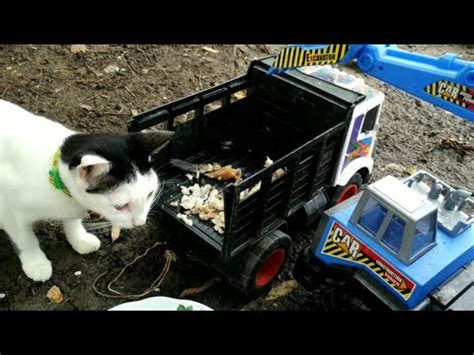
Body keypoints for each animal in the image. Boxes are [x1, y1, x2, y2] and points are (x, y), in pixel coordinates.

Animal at [0, 101, 174, 284]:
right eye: (120, 206)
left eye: (149, 194)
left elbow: (72, 221)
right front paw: (36, 263)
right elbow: (25, 239)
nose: (140, 223)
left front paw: (79, 239)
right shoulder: (9, 211)